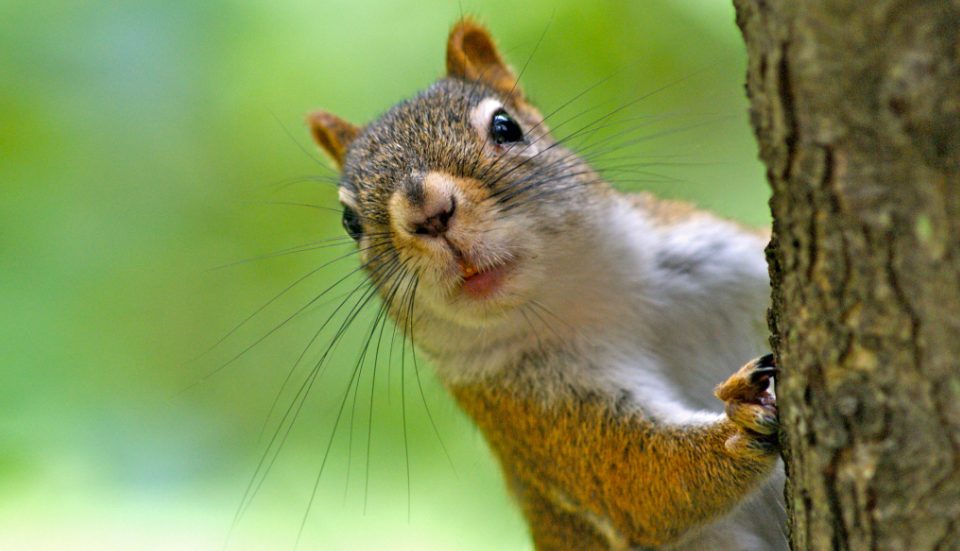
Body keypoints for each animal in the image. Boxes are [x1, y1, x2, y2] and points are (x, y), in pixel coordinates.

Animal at [306, 19, 786, 551]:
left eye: (505, 126)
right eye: (350, 221)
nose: (427, 214)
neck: (583, 297)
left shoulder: (718, 254)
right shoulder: (531, 410)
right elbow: (638, 477)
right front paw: (740, 422)